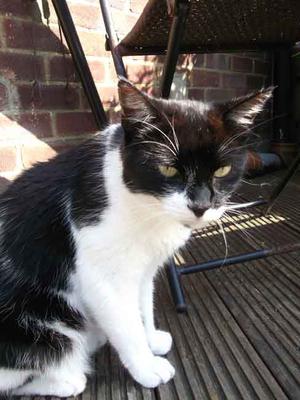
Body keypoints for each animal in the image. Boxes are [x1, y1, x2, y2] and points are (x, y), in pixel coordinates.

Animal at [0, 78, 272, 396]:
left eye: (222, 170)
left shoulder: (144, 268)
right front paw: (147, 367)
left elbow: (142, 307)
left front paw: (151, 341)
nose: (201, 205)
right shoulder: (102, 276)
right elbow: (126, 326)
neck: (147, 208)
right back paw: (68, 376)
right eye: (168, 168)